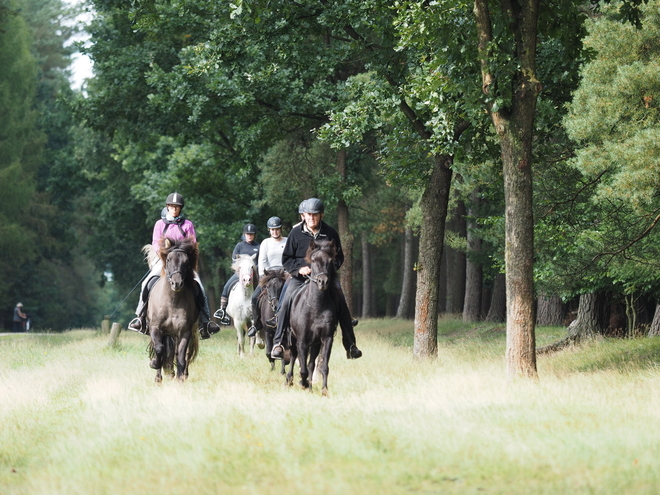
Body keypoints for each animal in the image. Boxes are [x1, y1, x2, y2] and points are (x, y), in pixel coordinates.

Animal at [148, 236, 200, 384]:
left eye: (187, 262)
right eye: (169, 260)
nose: (176, 283)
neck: (172, 301)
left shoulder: (185, 331)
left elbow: (181, 355)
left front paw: (180, 378)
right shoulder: (155, 328)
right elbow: (159, 348)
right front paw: (155, 365)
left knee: (184, 353)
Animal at [286, 238, 338, 398]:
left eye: (330, 261)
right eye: (313, 260)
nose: (323, 282)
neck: (316, 306)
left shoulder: (326, 339)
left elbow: (323, 366)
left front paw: (324, 390)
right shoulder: (302, 340)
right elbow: (302, 367)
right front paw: (302, 383)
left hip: (315, 343)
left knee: (310, 364)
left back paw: (309, 386)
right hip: (292, 338)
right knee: (293, 357)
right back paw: (289, 380)